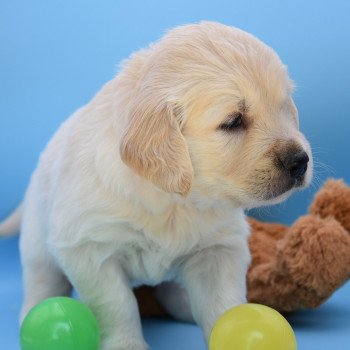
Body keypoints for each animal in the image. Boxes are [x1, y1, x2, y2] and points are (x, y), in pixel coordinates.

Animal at [0, 22, 312, 350]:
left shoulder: (218, 248)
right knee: (42, 279)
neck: (175, 199)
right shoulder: (90, 249)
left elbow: (223, 302)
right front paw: (126, 344)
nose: (300, 161)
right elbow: (117, 305)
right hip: (37, 243)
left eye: (284, 107)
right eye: (233, 121)